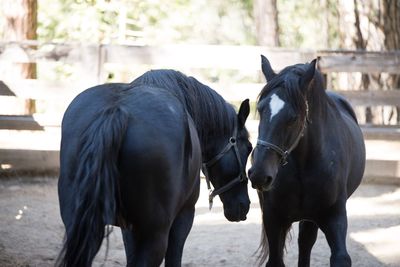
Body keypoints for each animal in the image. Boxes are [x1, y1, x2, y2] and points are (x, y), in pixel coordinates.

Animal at [57, 70, 252, 266]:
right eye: (249, 148)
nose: (244, 205)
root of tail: (116, 110)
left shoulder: (129, 227)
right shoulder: (183, 217)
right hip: (155, 235)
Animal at [247, 56, 366, 266]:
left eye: (293, 118)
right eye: (260, 110)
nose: (259, 174)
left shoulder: (334, 216)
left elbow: (340, 257)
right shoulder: (273, 218)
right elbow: (275, 259)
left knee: (305, 243)